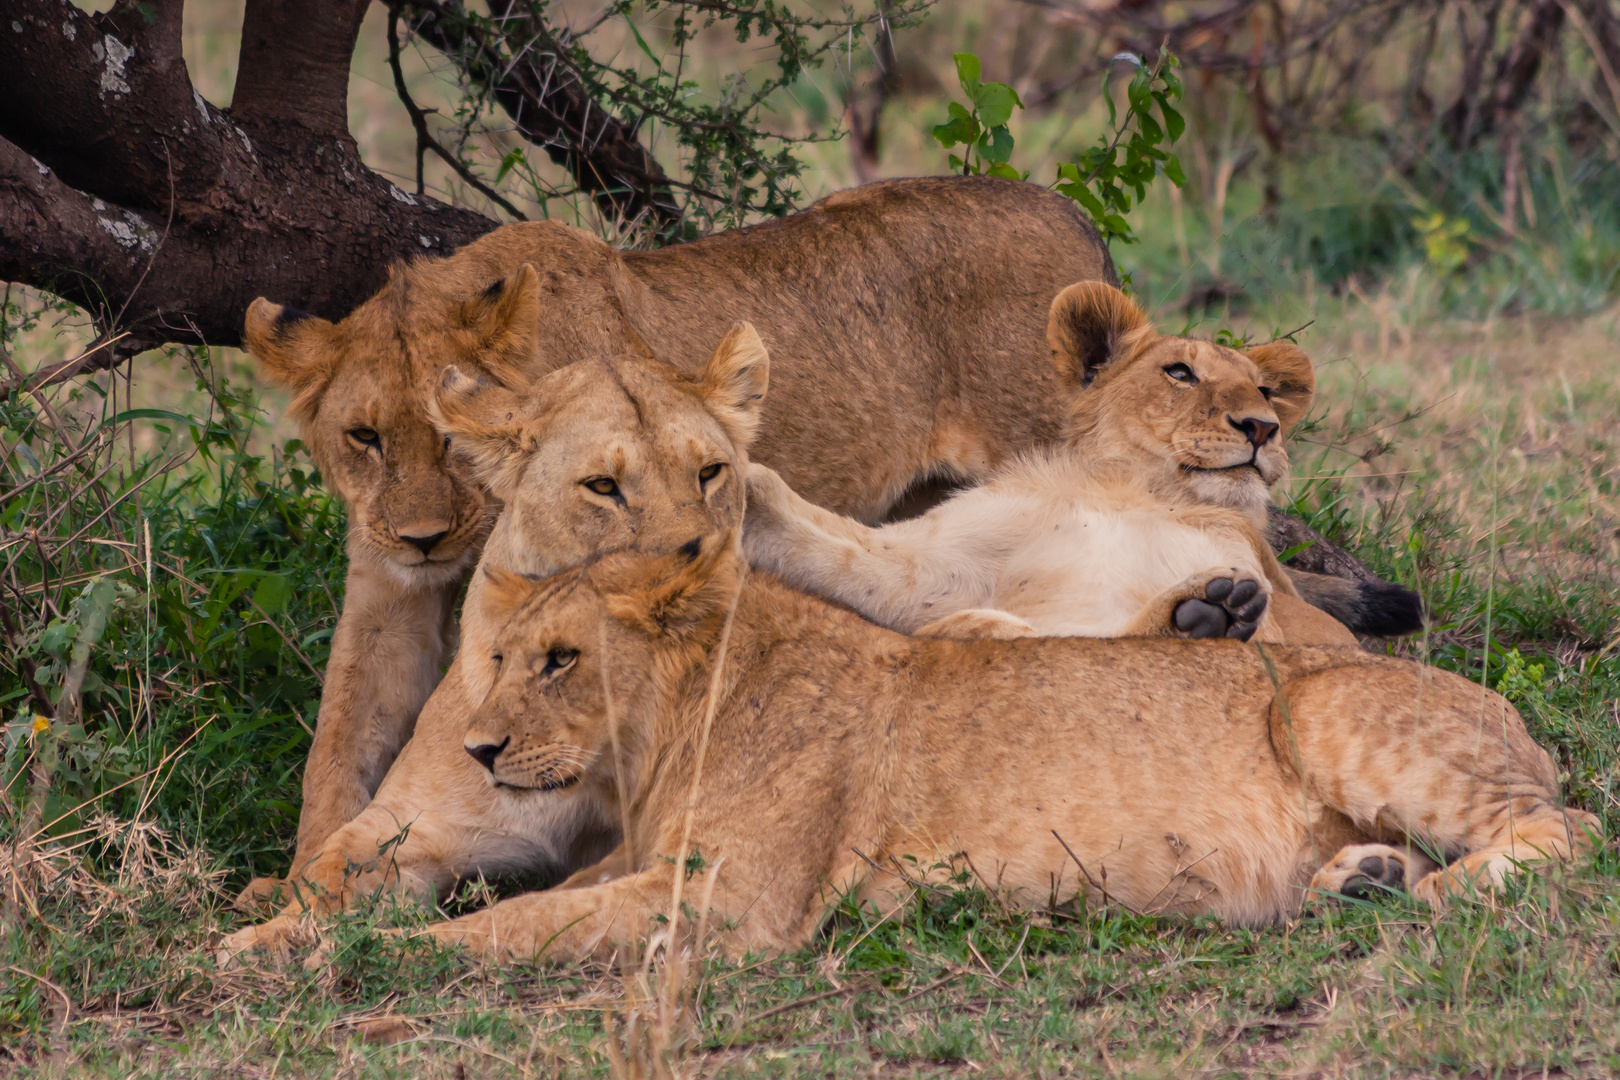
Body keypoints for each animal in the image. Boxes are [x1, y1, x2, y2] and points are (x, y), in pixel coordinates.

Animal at [745, 283, 1367, 647]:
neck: (1136, 491)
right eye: (1180, 373)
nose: (1262, 427)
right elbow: (838, 544)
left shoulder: (1270, 602)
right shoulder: (943, 563)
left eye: (1264, 390)